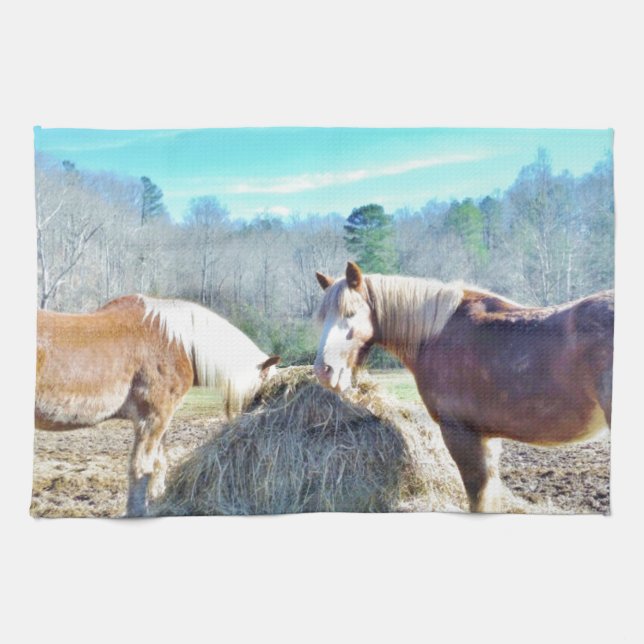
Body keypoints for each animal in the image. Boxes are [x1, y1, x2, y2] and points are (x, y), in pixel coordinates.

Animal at [36, 294, 280, 517]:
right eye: (264, 388)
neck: (177, 343)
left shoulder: (162, 419)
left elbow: (158, 463)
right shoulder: (153, 418)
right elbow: (141, 466)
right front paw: (137, 511)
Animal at [313, 262, 613, 512]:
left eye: (351, 314)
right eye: (323, 317)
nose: (324, 371)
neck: (435, 336)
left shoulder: (459, 432)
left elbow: (477, 497)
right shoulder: (487, 437)